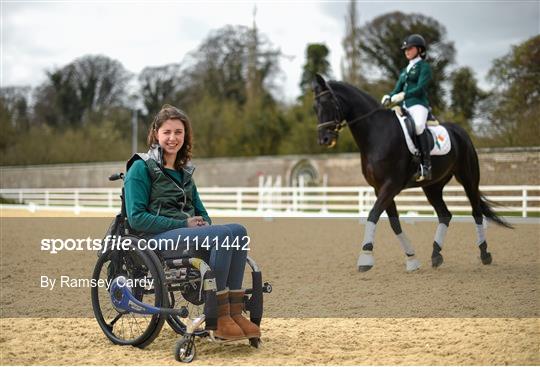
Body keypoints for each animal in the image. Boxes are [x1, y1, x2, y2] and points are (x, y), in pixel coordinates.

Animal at [312, 73, 510, 272]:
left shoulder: (390, 185)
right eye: (315, 108)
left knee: (476, 212)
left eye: (329, 103)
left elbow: (373, 215)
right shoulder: (379, 188)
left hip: (468, 178)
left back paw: (484, 254)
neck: (377, 133)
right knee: (445, 214)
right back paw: (436, 255)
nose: (324, 140)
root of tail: (461, 132)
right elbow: (394, 223)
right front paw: (412, 259)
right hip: (432, 187)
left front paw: (365, 258)